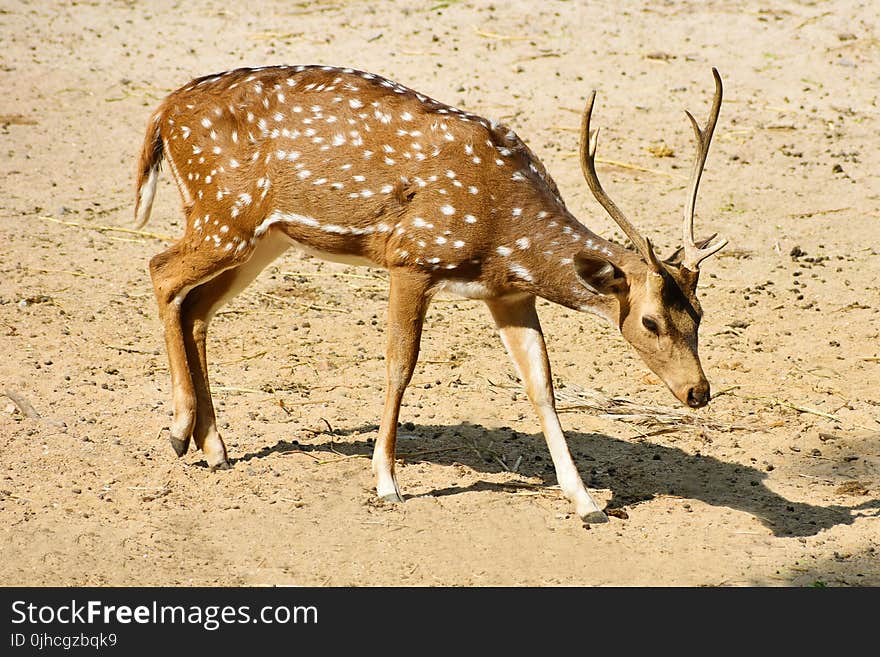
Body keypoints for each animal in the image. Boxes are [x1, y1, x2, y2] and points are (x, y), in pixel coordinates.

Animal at [134, 64, 724, 520]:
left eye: (699, 313)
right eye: (649, 321)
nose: (699, 391)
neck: (505, 231)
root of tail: (162, 112)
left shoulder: (508, 294)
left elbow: (541, 384)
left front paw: (586, 503)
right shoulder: (412, 257)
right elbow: (400, 364)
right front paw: (386, 482)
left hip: (260, 237)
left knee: (197, 307)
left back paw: (215, 447)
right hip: (223, 215)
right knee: (161, 270)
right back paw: (179, 430)